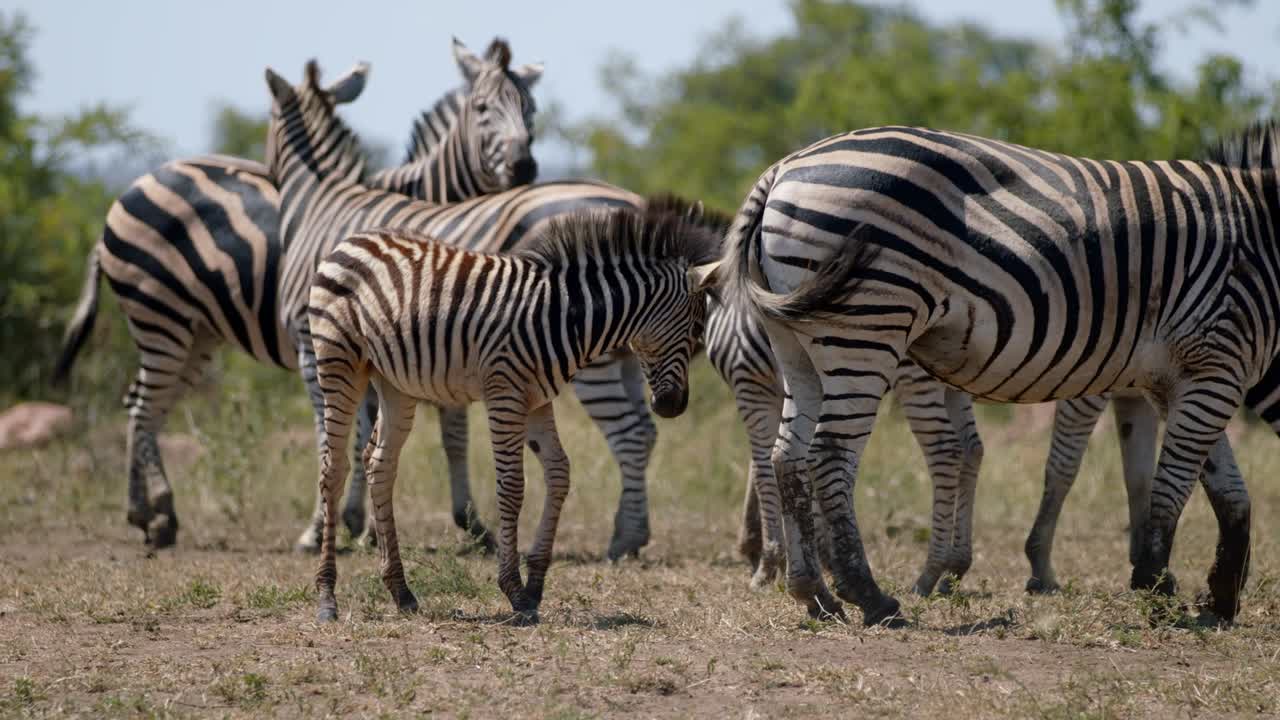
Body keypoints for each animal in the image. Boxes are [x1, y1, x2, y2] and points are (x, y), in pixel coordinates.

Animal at [51, 39, 542, 550]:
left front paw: (438, 521)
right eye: (482, 108)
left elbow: (437, 430)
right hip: (160, 316)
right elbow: (361, 430)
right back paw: (155, 511)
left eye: (532, 110)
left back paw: (150, 513)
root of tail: (130, 188)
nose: (525, 166)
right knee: (145, 404)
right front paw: (353, 524)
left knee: (141, 403)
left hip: (195, 333)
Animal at [308, 209, 719, 623]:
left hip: (395, 382)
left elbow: (559, 474)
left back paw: (401, 592)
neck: (564, 315)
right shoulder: (505, 392)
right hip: (339, 360)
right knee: (332, 470)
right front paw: (515, 592)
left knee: (380, 465)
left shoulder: (538, 399)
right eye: (696, 331)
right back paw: (327, 596)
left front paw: (535, 584)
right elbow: (512, 486)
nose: (673, 406)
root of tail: (353, 239)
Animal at [714, 124, 1267, 627]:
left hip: (804, 346)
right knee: (841, 455)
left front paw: (1203, 590)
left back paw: (822, 592)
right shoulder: (1205, 362)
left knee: (793, 456)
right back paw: (873, 594)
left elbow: (1194, 479)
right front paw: (1165, 585)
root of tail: (781, 170)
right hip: (867, 330)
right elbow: (1154, 474)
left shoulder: (1181, 374)